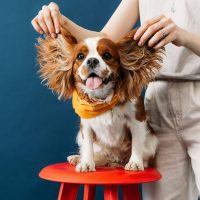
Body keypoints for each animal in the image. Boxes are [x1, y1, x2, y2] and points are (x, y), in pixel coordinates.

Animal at [36, 27, 163, 172]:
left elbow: (137, 144)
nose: (91, 60)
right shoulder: (85, 126)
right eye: (80, 56)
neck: (101, 98)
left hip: (152, 140)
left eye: (107, 55)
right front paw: (86, 163)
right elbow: (87, 147)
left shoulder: (137, 120)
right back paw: (78, 158)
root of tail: (115, 159)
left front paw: (135, 163)